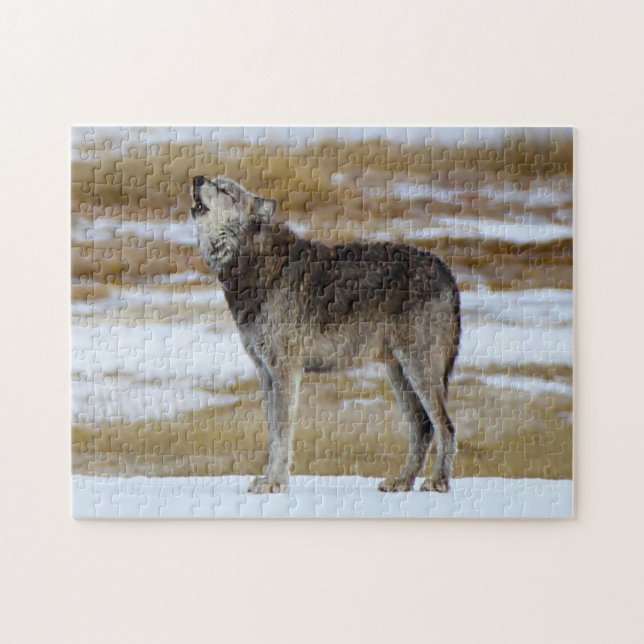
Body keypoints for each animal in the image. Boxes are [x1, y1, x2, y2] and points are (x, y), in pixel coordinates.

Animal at [191, 175, 461, 493]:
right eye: (211, 180)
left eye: (224, 189)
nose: (196, 179)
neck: (252, 263)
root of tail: (447, 271)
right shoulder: (265, 372)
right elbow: (272, 433)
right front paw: (268, 480)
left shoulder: (285, 371)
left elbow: (282, 433)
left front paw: (276, 483)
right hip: (398, 373)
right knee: (423, 426)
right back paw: (401, 481)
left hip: (419, 370)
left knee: (445, 426)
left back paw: (438, 482)